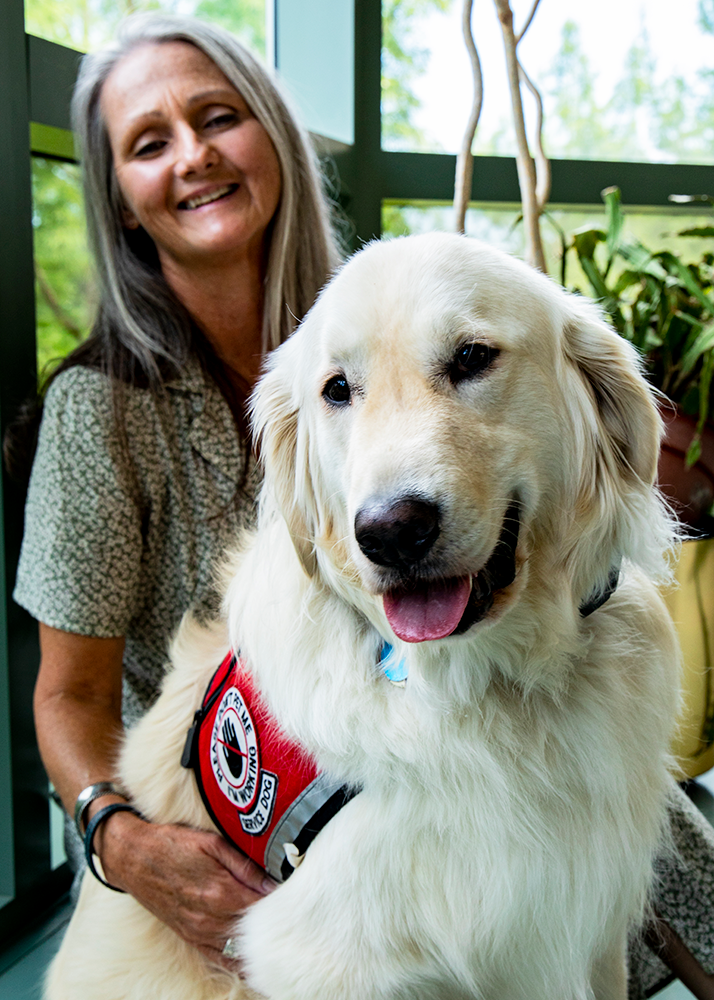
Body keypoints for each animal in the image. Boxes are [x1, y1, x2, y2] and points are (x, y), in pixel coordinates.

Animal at [46, 234, 680, 1000]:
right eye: (338, 390)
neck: (487, 686)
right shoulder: (327, 959)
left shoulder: (587, 926)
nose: (391, 532)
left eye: (472, 357)